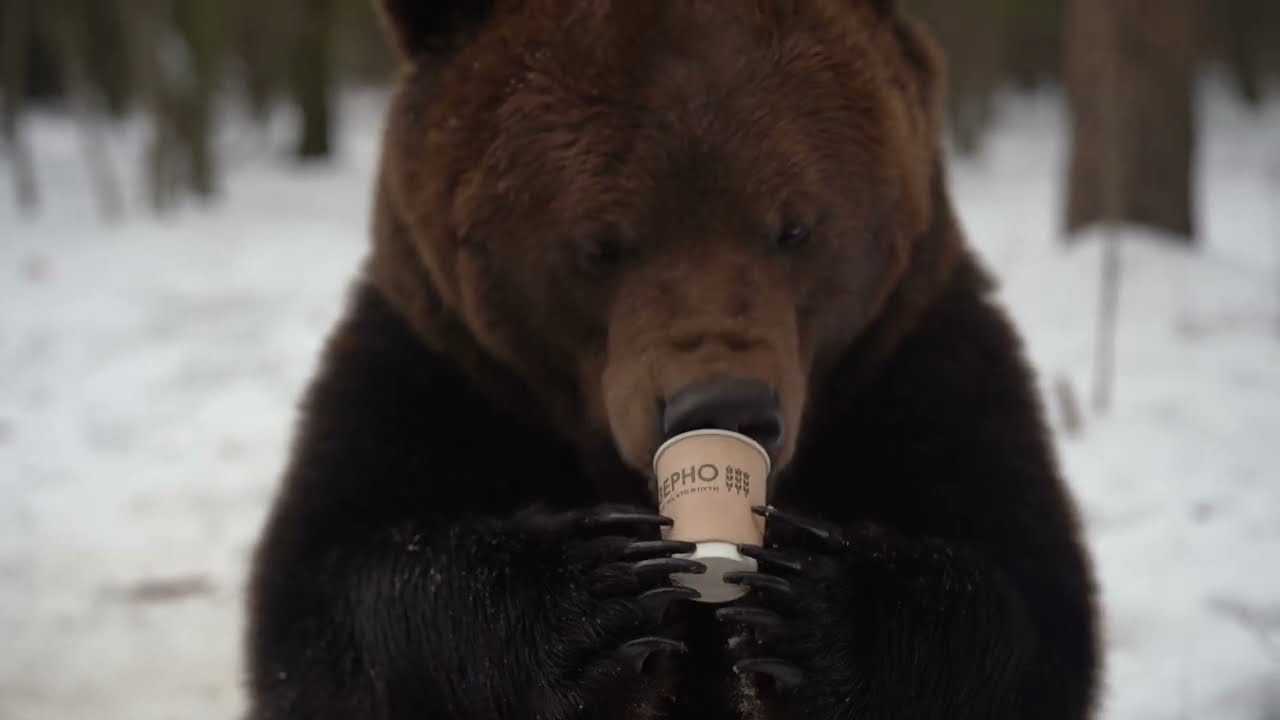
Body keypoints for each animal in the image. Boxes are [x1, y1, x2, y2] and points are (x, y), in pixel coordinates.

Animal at [244, 1, 1100, 719]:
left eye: (794, 226)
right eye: (599, 243)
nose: (725, 406)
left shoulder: (911, 362)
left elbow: (1026, 595)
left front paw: (804, 612)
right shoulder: (444, 372)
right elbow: (330, 585)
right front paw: (597, 596)